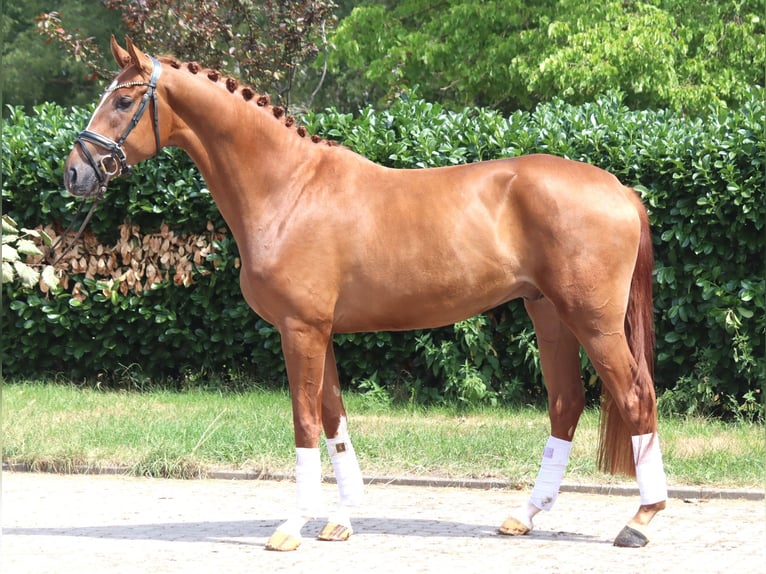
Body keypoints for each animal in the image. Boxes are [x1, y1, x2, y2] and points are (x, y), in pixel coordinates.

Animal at [63, 37, 668, 551]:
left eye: (122, 100)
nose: (74, 173)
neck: (289, 188)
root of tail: (619, 188)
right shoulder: (318, 331)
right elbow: (334, 418)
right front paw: (342, 518)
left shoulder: (300, 330)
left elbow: (305, 421)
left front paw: (292, 525)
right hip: (549, 313)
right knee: (566, 402)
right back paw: (525, 514)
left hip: (592, 320)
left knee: (636, 396)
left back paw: (640, 520)